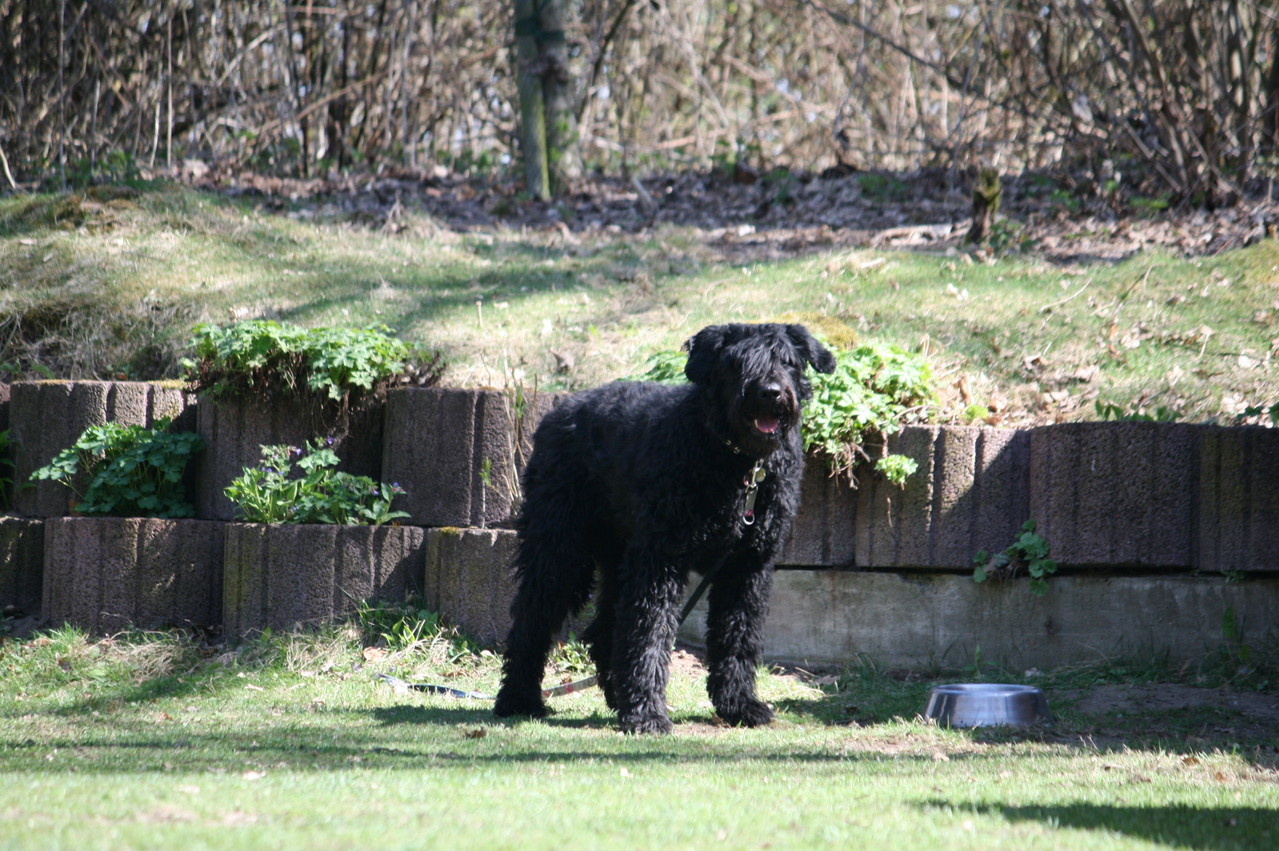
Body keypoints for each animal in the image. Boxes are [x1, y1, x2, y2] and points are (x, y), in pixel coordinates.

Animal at [491, 322, 839, 731]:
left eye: (787, 361)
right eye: (737, 363)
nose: (769, 391)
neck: (735, 462)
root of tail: (555, 413)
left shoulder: (746, 567)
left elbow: (737, 636)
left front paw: (739, 705)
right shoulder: (661, 559)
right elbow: (650, 631)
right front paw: (647, 713)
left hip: (618, 556)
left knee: (605, 629)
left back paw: (616, 695)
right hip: (560, 550)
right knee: (532, 619)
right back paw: (520, 699)